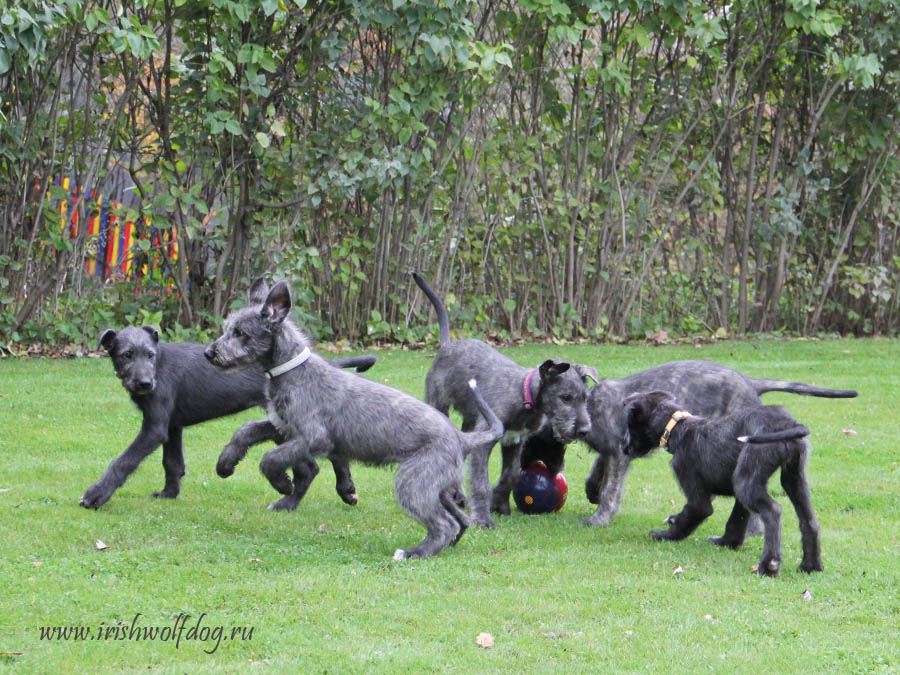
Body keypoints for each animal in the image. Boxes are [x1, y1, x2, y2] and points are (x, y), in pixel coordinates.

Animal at [82, 316, 374, 508]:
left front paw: (96, 494)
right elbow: (172, 463)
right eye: (126, 355)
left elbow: (124, 461)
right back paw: (346, 489)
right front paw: (169, 493)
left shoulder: (154, 429)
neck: (159, 366)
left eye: (150, 355)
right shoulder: (171, 426)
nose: (145, 384)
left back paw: (291, 500)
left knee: (310, 467)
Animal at [204, 278, 506, 560]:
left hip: (413, 482)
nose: (209, 353)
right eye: (227, 328)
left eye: (240, 333)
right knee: (459, 519)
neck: (293, 370)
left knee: (444, 524)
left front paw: (283, 484)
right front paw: (226, 463)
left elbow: (271, 458)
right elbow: (246, 430)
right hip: (437, 485)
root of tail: (462, 438)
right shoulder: (283, 425)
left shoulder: (314, 438)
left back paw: (414, 553)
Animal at [410, 272, 596, 532]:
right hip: (440, 405)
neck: (524, 395)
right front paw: (483, 518)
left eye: (584, 398)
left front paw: (500, 503)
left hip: (471, 421)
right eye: (565, 398)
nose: (584, 430)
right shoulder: (486, 444)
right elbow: (480, 482)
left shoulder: (514, 442)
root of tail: (447, 345)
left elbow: (511, 475)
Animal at [528, 362, 856, 532]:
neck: (593, 407)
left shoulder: (620, 453)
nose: (581, 429)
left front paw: (600, 517)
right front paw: (592, 492)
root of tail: (751, 382)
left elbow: (612, 488)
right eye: (565, 398)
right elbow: (598, 472)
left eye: (575, 398)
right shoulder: (615, 452)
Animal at [624, 394, 824, 580]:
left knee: (773, 511)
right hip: (793, 478)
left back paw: (769, 566)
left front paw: (665, 535)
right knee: (809, 521)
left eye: (629, 425)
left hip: (746, 481)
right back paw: (810, 566)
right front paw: (727, 542)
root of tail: (788, 423)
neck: (678, 428)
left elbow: (690, 515)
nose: (624, 449)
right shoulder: (740, 497)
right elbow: (736, 520)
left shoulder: (695, 493)